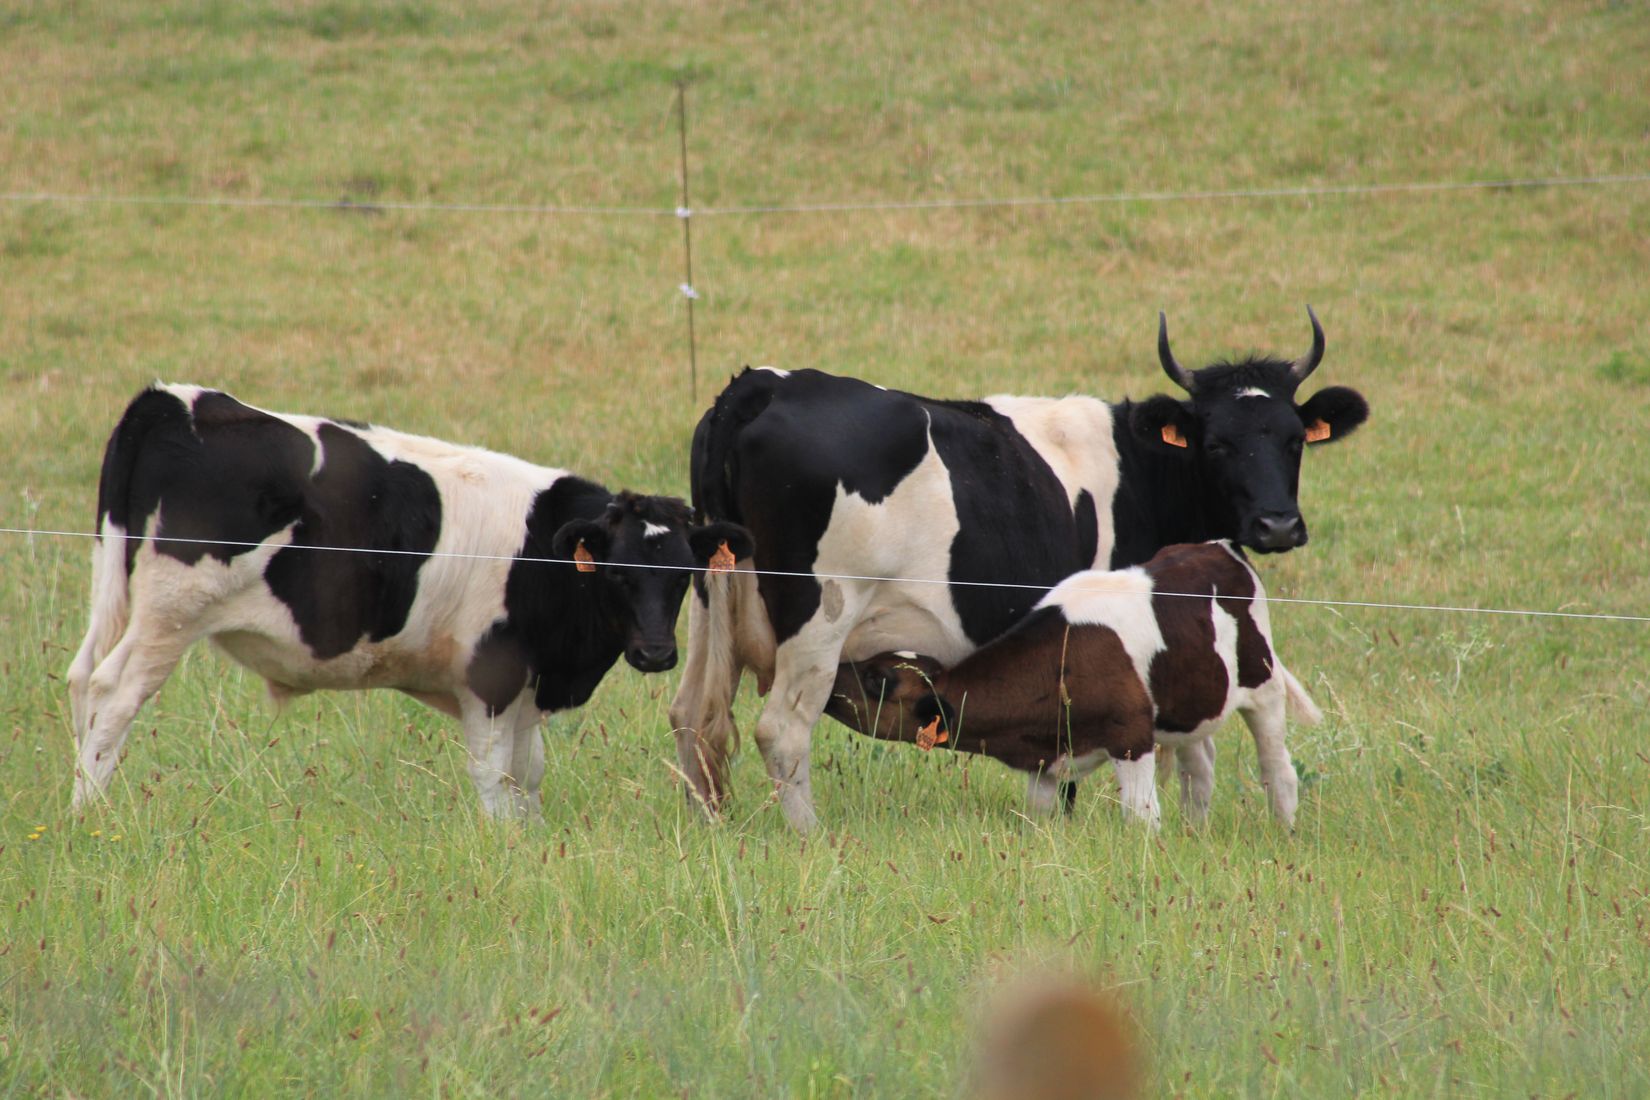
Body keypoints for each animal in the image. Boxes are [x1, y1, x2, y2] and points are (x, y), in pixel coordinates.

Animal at [66, 384, 750, 818]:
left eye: (684, 575)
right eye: (616, 574)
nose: (657, 653)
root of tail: (175, 400)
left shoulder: (528, 684)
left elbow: (527, 772)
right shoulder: (491, 677)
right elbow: (494, 774)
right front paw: (502, 844)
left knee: (81, 683)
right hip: (171, 613)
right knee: (113, 694)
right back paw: (91, 813)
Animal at [829, 542, 1321, 829]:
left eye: (877, 679)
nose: (832, 679)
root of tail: (1218, 545)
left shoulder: (1131, 736)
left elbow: (1140, 816)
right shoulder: (1045, 765)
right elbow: (1040, 816)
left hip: (1264, 684)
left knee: (1278, 768)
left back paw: (1285, 831)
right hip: (1188, 702)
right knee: (1198, 766)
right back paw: (1194, 830)